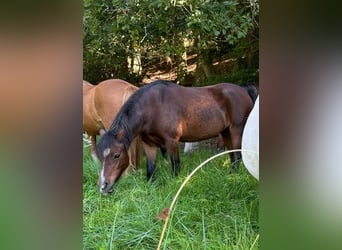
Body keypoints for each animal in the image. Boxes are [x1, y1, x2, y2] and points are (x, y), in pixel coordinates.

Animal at [95, 79, 254, 193]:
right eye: (100, 157)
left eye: (117, 155)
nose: (103, 186)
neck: (152, 107)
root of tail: (244, 90)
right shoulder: (149, 145)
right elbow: (150, 169)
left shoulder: (171, 142)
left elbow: (175, 166)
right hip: (226, 132)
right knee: (232, 155)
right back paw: (230, 175)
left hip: (236, 130)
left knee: (237, 155)